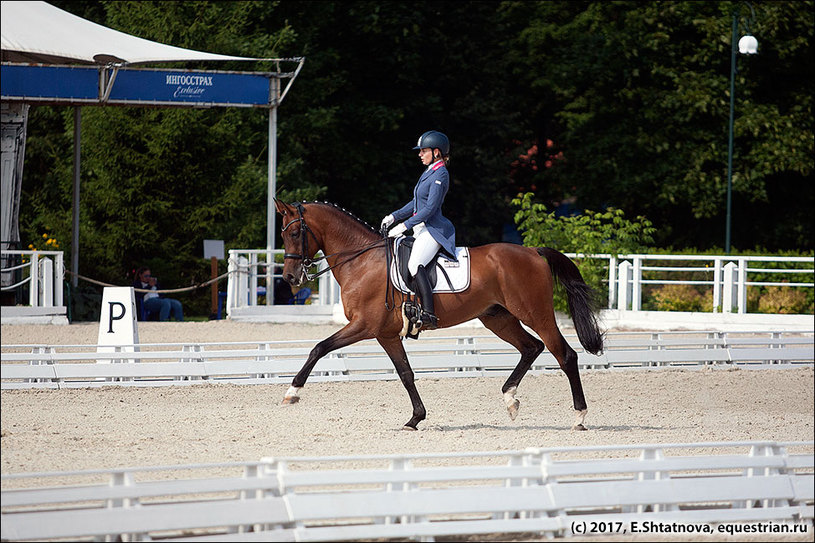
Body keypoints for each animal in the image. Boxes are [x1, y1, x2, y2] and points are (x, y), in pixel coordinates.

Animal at [278, 198, 604, 432]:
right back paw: (510, 399)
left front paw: (292, 392)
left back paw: (579, 418)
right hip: (498, 317)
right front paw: (415, 419)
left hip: (536, 314)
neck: (361, 260)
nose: (291, 278)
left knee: (564, 355)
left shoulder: (364, 325)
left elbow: (319, 347)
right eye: (283, 234)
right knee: (531, 347)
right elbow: (406, 374)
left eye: (294, 233)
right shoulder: (385, 334)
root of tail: (533, 251)